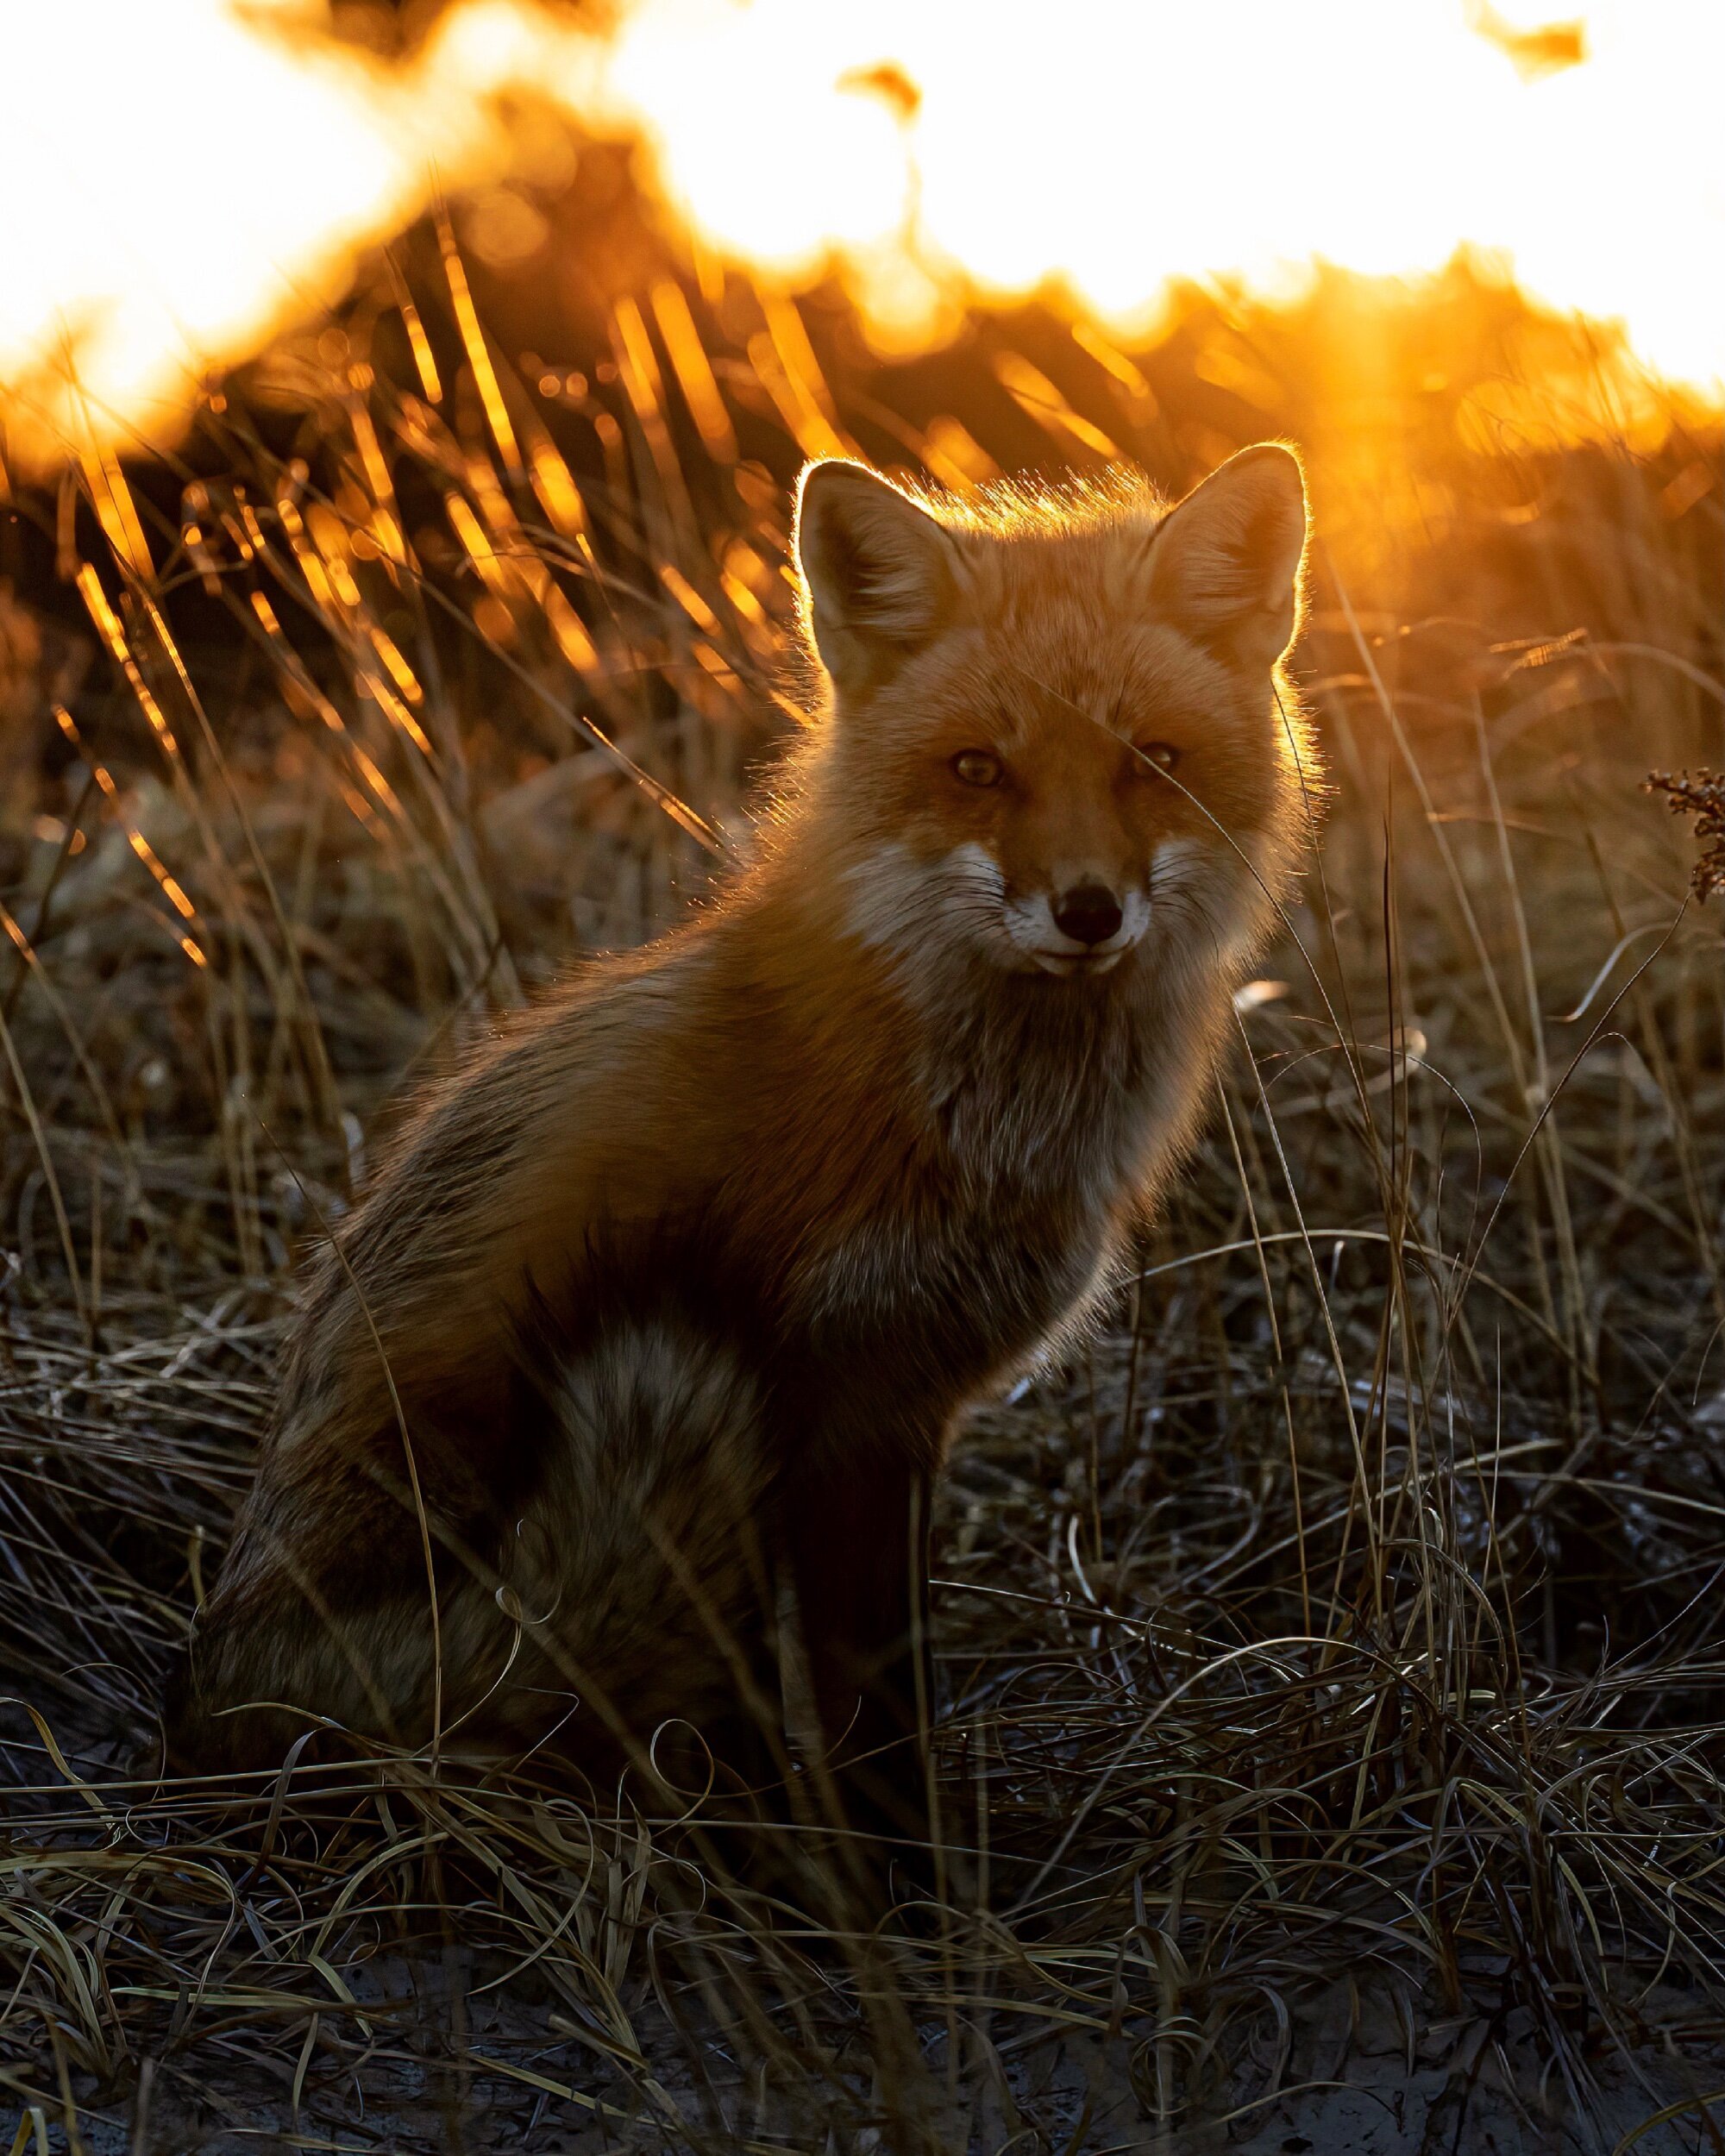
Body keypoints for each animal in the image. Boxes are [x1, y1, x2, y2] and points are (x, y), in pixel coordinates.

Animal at [168, 442, 1311, 1854]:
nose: (1087, 910)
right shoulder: (847, 1405)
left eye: (1152, 758)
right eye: (977, 769)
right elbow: (877, 1713)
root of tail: (203, 1693)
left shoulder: (902, 1410)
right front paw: (911, 1887)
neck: (981, 1110)